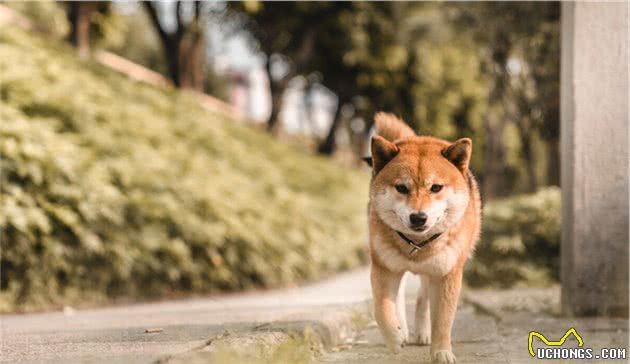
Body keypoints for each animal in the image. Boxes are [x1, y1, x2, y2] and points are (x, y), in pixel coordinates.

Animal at [366, 112, 484, 362]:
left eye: (436, 187)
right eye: (401, 188)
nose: (418, 217)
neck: (417, 245)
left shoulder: (446, 274)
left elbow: (443, 320)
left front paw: (441, 352)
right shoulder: (383, 269)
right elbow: (381, 309)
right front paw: (394, 338)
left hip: (432, 272)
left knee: (422, 299)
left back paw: (422, 332)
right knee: (399, 298)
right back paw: (402, 328)